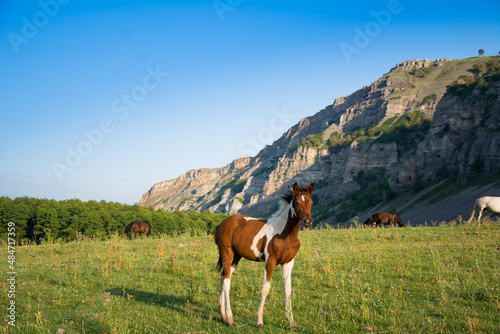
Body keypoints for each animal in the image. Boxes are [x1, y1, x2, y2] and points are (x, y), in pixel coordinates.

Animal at [213, 183, 314, 328]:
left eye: (311, 202)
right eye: (297, 202)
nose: (308, 222)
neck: (285, 234)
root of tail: (222, 223)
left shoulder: (288, 263)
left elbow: (287, 290)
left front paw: (292, 322)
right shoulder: (270, 261)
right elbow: (265, 288)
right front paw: (259, 321)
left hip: (236, 257)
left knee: (223, 277)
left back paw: (222, 314)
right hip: (227, 253)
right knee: (226, 281)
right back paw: (230, 319)